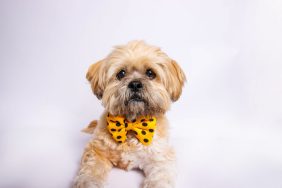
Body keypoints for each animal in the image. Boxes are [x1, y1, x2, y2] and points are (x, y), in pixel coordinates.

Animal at [74, 41, 186, 188]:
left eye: (150, 73)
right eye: (121, 73)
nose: (135, 84)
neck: (131, 123)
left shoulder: (160, 156)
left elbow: (160, 175)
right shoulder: (96, 151)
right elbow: (91, 169)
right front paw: (88, 181)